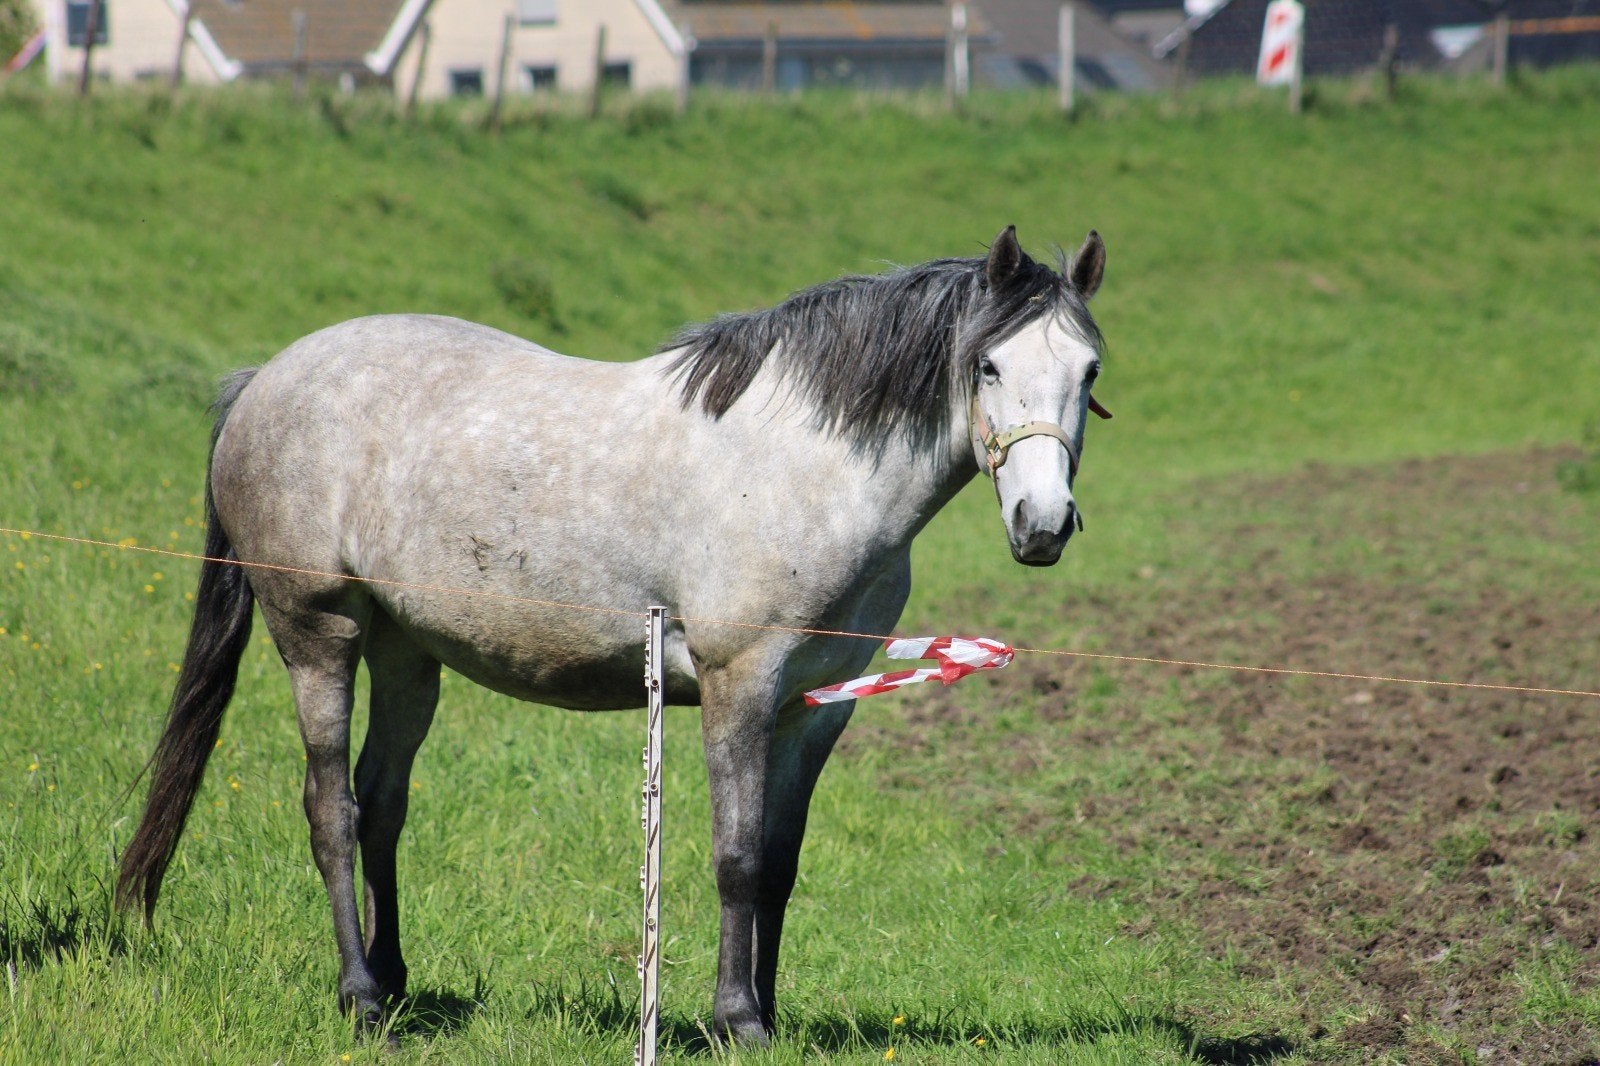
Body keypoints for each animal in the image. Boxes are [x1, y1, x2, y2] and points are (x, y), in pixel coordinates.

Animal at [115, 225, 1109, 1046]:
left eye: (1090, 371)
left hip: (407, 654)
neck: (806, 468)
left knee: (381, 808)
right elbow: (738, 858)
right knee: (331, 810)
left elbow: (780, 864)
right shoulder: (740, 686)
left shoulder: (814, 709)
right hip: (320, 636)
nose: (1043, 525)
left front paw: (771, 1012)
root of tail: (262, 381)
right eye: (988, 367)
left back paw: (396, 984)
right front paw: (737, 1021)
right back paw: (360, 999)